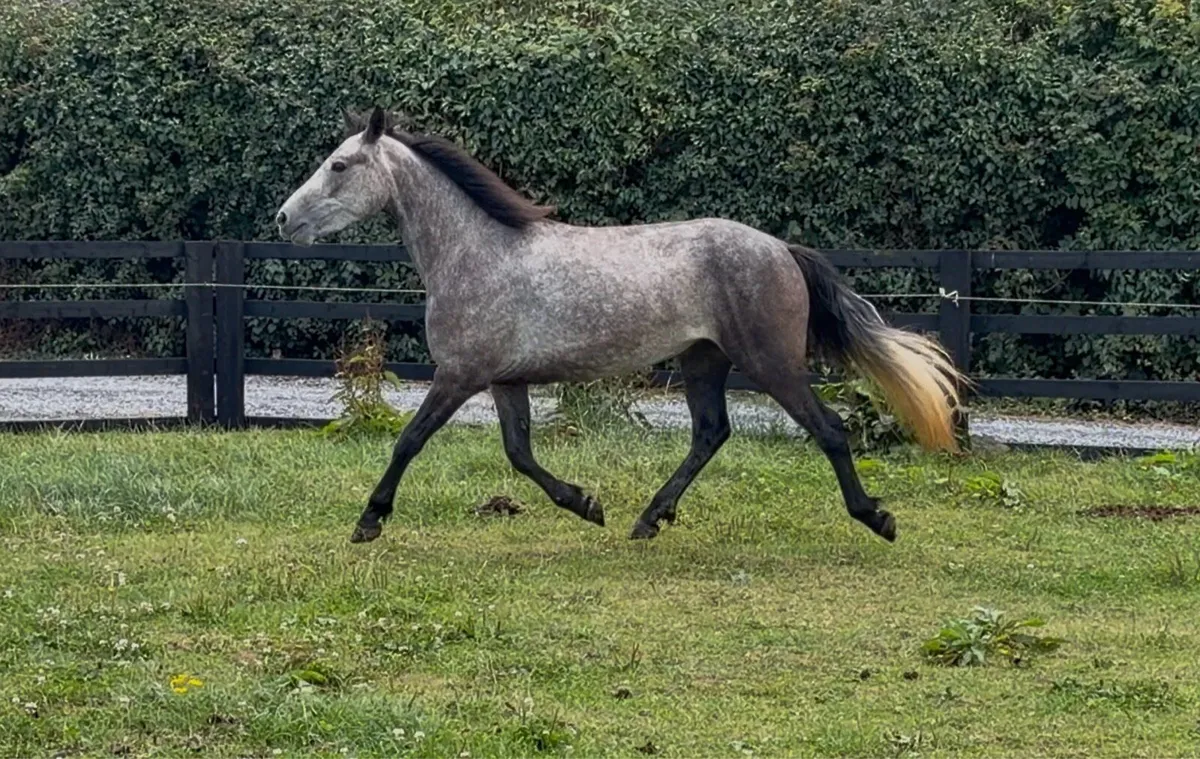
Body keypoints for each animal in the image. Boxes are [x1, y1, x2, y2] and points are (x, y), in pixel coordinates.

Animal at [274, 106, 965, 546]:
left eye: (339, 165)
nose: (283, 220)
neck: (478, 253)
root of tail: (780, 249)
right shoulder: (503, 380)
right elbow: (520, 453)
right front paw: (588, 505)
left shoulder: (460, 374)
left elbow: (409, 441)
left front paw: (368, 521)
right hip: (703, 358)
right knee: (711, 433)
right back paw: (647, 520)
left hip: (771, 364)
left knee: (828, 430)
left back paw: (876, 518)